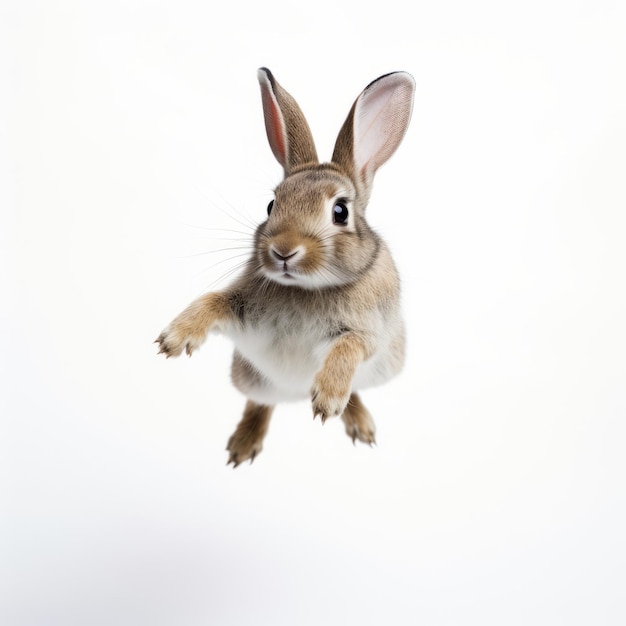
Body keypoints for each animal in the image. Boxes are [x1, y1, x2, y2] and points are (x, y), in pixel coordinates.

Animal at [155, 68, 412, 466]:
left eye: (341, 211)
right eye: (271, 205)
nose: (283, 251)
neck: (306, 287)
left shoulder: (370, 332)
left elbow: (350, 346)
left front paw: (327, 399)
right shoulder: (245, 314)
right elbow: (213, 300)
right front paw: (175, 338)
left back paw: (358, 423)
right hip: (252, 378)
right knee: (260, 402)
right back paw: (243, 443)